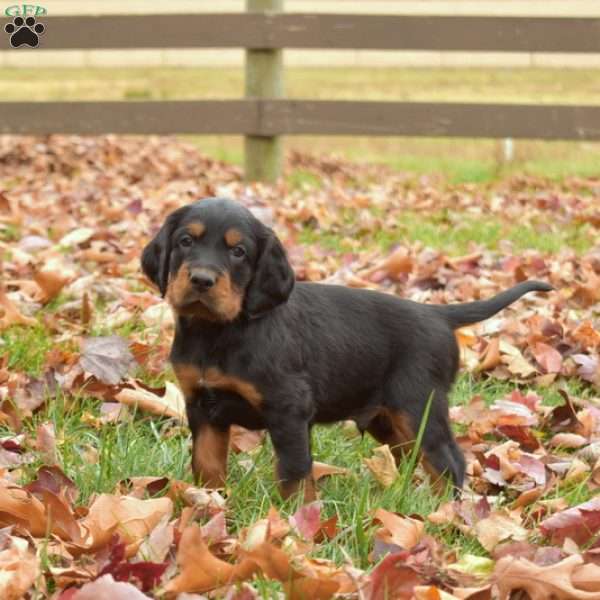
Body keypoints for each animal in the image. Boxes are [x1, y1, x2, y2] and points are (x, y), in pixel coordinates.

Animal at [142, 198, 552, 502]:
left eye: (239, 251)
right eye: (185, 241)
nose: (201, 280)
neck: (218, 332)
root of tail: (437, 313)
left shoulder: (289, 407)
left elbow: (294, 472)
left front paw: (297, 525)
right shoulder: (202, 406)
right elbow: (207, 463)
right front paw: (208, 503)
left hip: (417, 404)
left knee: (448, 460)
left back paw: (445, 514)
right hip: (386, 418)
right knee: (410, 456)